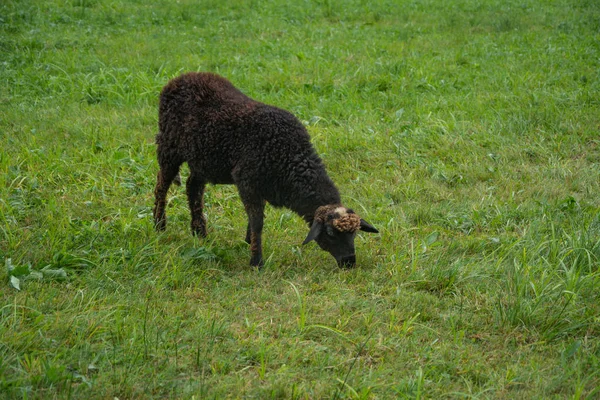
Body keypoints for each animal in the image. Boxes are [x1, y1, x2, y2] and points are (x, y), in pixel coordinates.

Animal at [152, 73, 378, 268]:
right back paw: (159, 225)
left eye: (355, 233)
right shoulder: (247, 182)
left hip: (201, 159)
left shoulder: (261, 186)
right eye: (330, 233)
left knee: (193, 187)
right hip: (169, 147)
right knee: (161, 186)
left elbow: (254, 221)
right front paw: (256, 261)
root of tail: (178, 79)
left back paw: (199, 232)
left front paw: (247, 242)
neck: (291, 156)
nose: (349, 262)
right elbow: (258, 223)